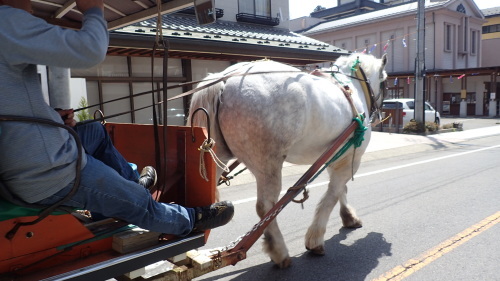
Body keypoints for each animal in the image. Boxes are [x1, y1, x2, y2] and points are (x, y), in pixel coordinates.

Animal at [188, 53, 386, 266]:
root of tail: (225, 77)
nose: (380, 114)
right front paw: (316, 239)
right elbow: (333, 194)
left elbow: (341, 190)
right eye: (385, 81)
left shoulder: (337, 155)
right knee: (266, 207)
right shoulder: (351, 158)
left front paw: (348, 217)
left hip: (217, 158)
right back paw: (279, 251)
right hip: (268, 163)